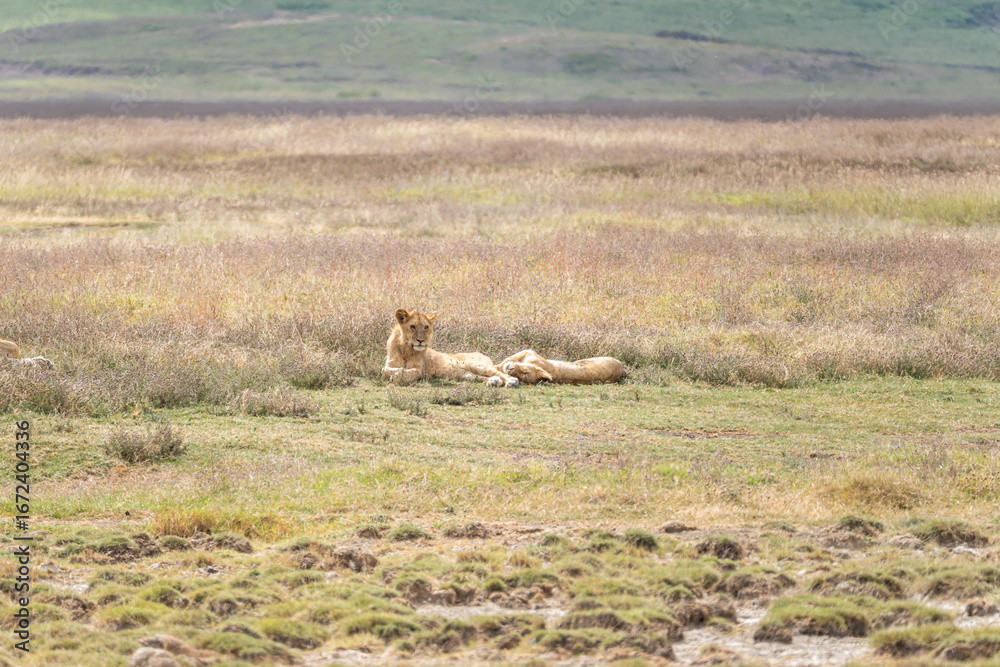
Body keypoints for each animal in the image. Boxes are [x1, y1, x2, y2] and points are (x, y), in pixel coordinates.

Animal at [381, 309, 519, 388]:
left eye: (426, 327)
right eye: (413, 326)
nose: (421, 341)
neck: (406, 349)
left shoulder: (421, 370)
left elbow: (413, 372)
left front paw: (399, 376)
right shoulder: (390, 364)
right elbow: (385, 370)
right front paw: (397, 372)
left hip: (474, 363)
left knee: (499, 373)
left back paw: (512, 381)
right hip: (466, 375)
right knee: (487, 377)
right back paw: (493, 382)